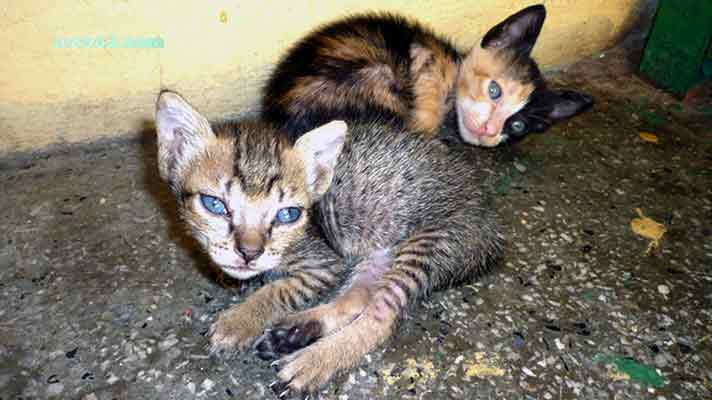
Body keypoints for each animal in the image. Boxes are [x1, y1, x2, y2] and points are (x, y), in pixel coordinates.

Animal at [156, 90, 504, 394]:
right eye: (215, 205)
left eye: (288, 214)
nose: (249, 253)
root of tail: (487, 213)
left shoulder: (324, 263)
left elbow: (277, 290)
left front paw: (241, 320)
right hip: (377, 251)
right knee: (359, 296)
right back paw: (295, 333)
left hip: (434, 241)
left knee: (381, 317)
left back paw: (313, 361)